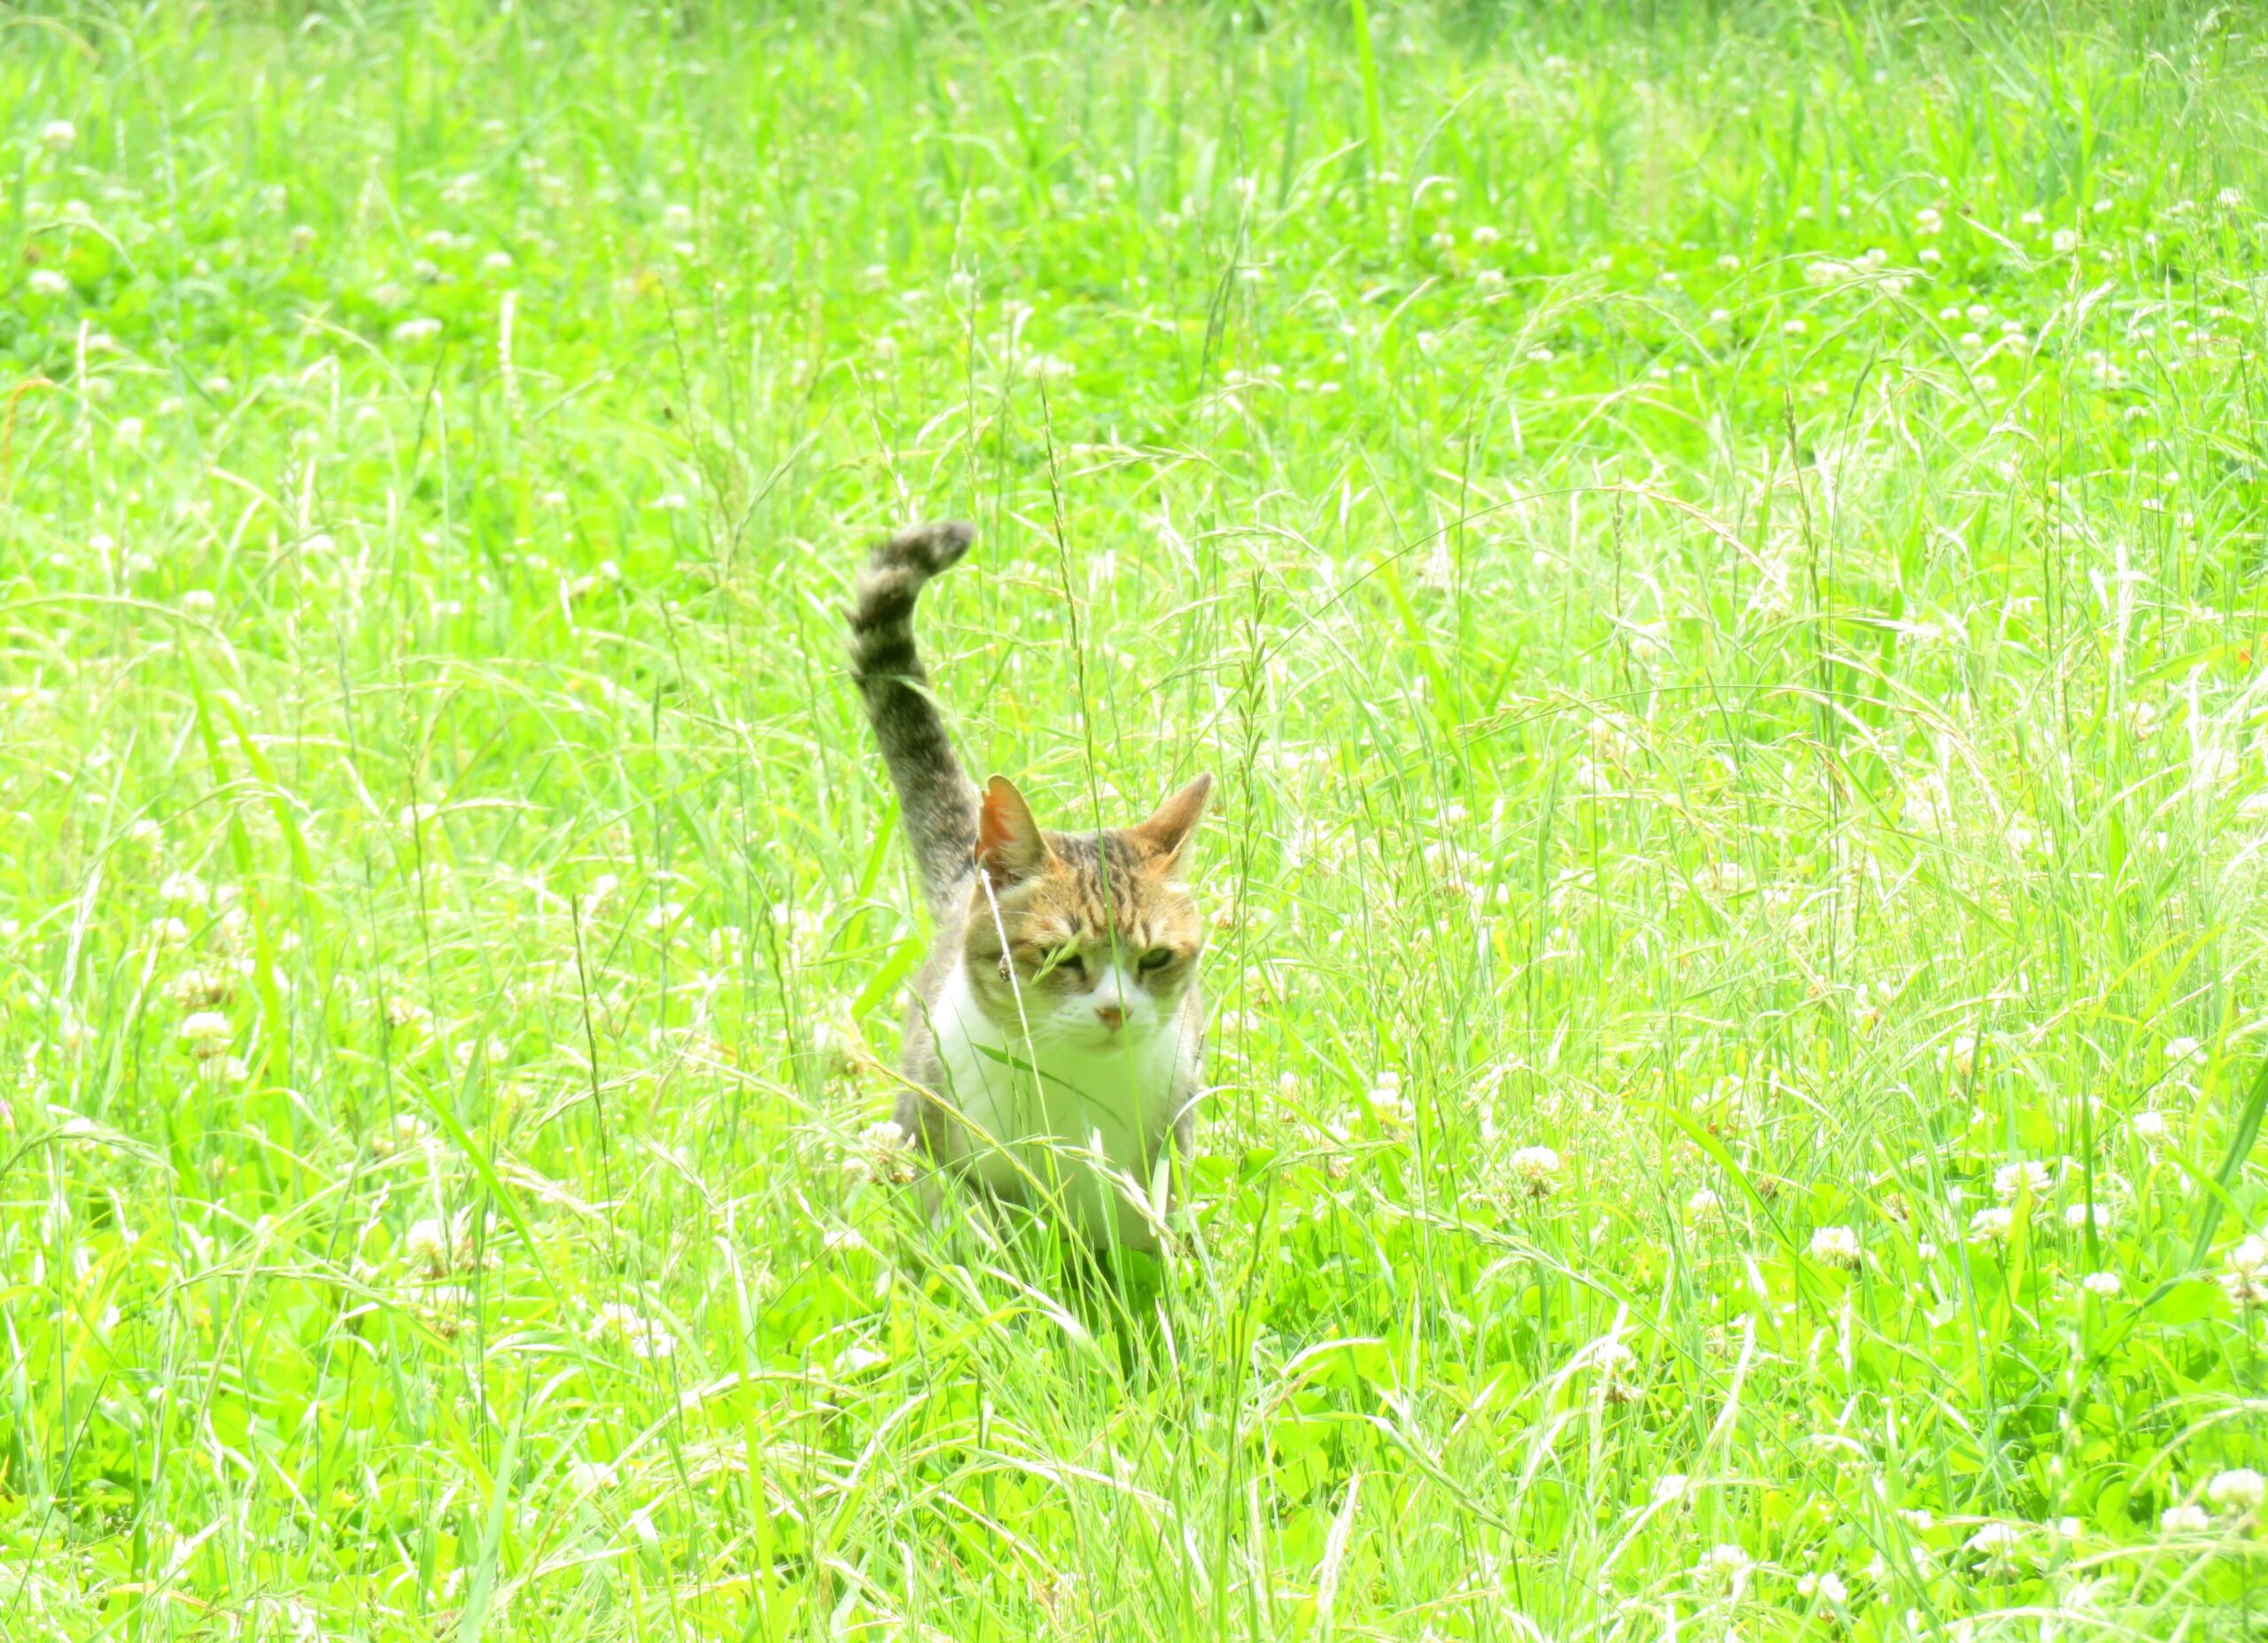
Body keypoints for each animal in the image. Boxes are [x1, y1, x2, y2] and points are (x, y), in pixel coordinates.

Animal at [848, 518, 1206, 1251]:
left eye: (1156, 957)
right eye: (1060, 956)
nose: (1115, 1010)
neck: (1071, 1084)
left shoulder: (1161, 1174)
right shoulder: (950, 1165)